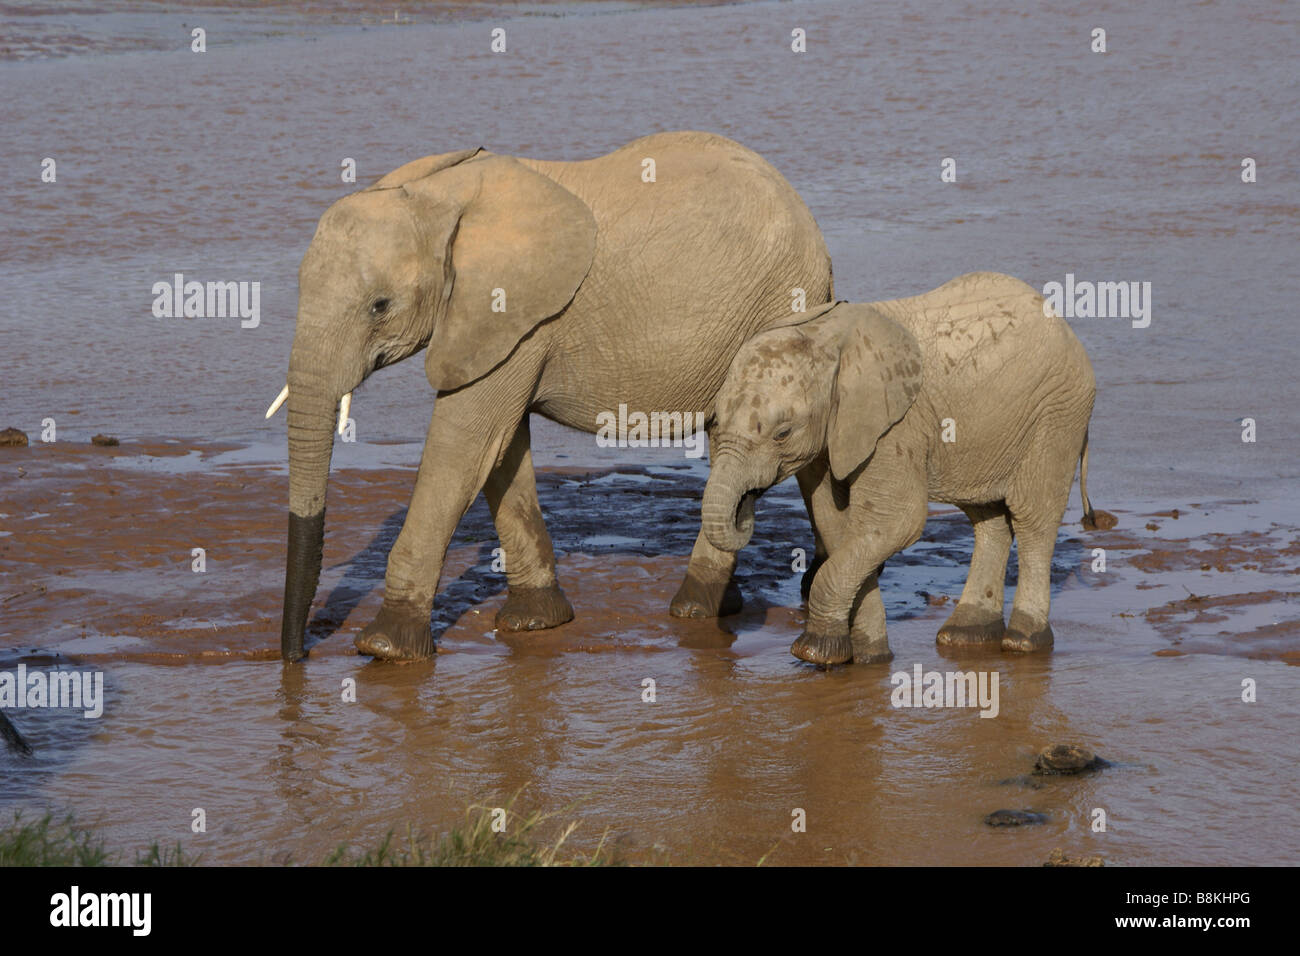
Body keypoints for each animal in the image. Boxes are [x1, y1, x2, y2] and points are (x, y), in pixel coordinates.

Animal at [271, 130, 832, 660]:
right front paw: (534, 621)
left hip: (779, 302)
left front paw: (383, 648)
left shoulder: (517, 314)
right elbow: (500, 451)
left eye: (379, 306)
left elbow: (463, 447)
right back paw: (727, 604)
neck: (440, 196)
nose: (297, 655)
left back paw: (702, 606)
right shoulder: (506, 328)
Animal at [707, 273, 1102, 665]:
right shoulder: (832, 439)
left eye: (783, 433)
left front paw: (816, 652)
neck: (825, 337)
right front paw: (869, 656)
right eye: (716, 421)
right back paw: (965, 634)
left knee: (1032, 518)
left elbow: (896, 521)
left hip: (1057, 412)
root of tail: (1065, 327)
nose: (747, 502)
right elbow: (839, 524)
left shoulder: (896, 427)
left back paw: (1023, 641)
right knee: (987, 518)